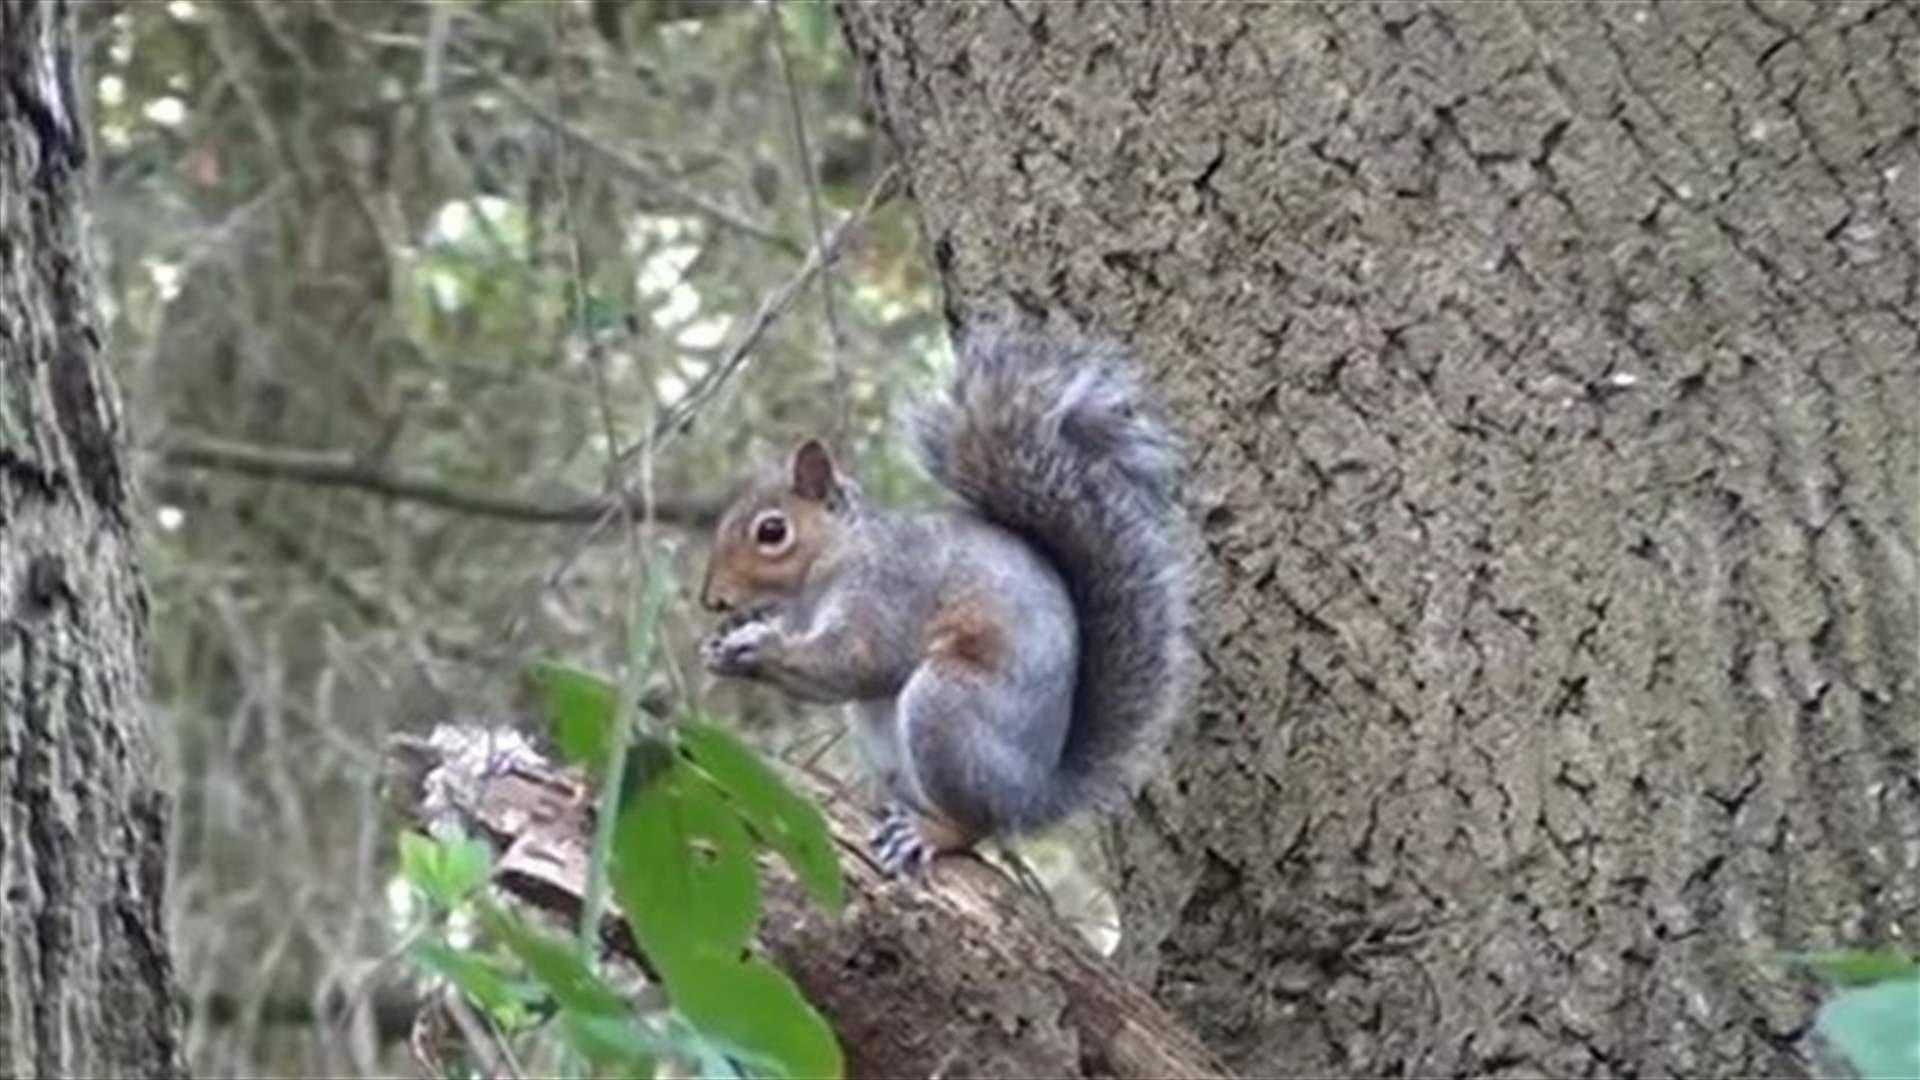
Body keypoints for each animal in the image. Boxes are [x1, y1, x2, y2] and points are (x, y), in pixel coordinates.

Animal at [696, 325, 1191, 876]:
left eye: (772, 531)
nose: (712, 600)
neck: (829, 566)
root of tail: (1031, 792)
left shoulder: (889, 590)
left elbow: (860, 661)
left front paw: (758, 649)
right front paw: (723, 643)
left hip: (945, 707)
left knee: (973, 825)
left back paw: (930, 832)